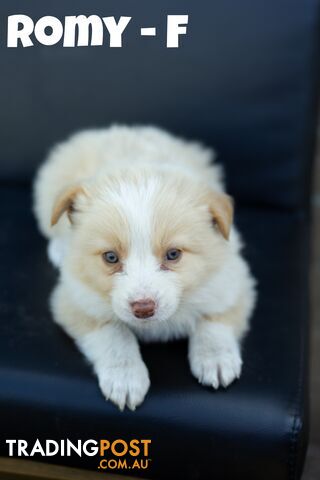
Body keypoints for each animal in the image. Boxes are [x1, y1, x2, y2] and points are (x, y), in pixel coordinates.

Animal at [33, 125, 256, 410]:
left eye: (173, 254)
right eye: (111, 257)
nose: (143, 309)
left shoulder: (233, 282)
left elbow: (215, 320)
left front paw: (216, 359)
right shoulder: (75, 300)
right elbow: (114, 334)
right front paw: (125, 378)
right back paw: (59, 248)